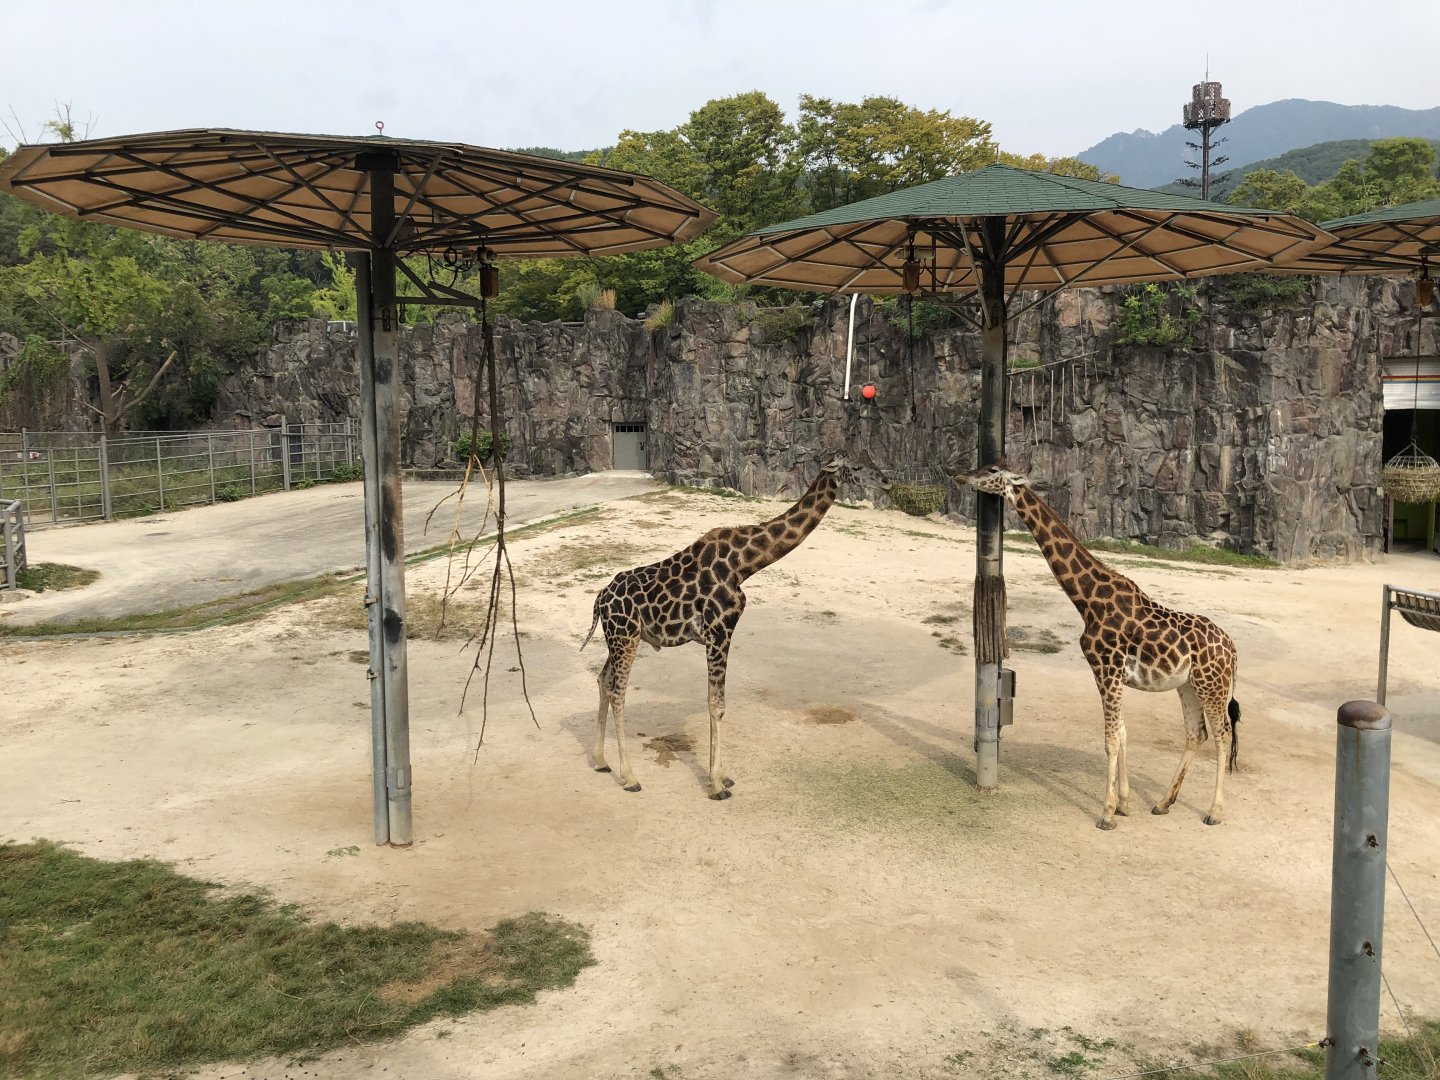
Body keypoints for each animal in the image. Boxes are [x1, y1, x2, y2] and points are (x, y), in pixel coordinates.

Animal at [582, 454, 889, 799]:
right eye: (857, 467)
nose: (888, 483)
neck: (744, 565)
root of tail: (599, 599)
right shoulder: (719, 632)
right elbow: (717, 705)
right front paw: (716, 786)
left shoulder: (720, 634)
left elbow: (717, 704)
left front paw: (723, 776)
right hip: (625, 637)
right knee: (618, 692)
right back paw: (630, 777)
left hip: (618, 638)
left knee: (603, 680)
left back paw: (601, 761)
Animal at [959, 464, 1241, 830]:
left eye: (991, 470)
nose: (961, 476)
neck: (1088, 600)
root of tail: (1233, 651)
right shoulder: (1109, 675)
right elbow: (1121, 733)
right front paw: (1124, 804)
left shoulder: (1107, 669)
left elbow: (1110, 739)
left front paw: (1107, 814)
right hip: (1189, 686)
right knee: (1197, 734)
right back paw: (1163, 803)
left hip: (1212, 686)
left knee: (1222, 735)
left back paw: (1214, 812)